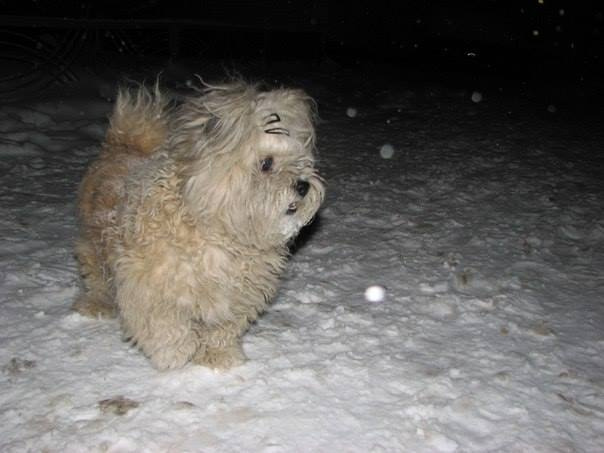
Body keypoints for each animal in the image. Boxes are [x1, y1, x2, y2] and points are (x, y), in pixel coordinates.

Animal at [74, 80, 326, 370]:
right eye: (266, 163)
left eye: (299, 159)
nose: (303, 186)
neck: (219, 231)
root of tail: (124, 144)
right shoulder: (150, 286)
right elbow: (165, 325)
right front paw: (174, 353)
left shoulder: (232, 296)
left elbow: (221, 328)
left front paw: (218, 355)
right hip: (93, 246)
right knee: (97, 279)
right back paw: (96, 304)